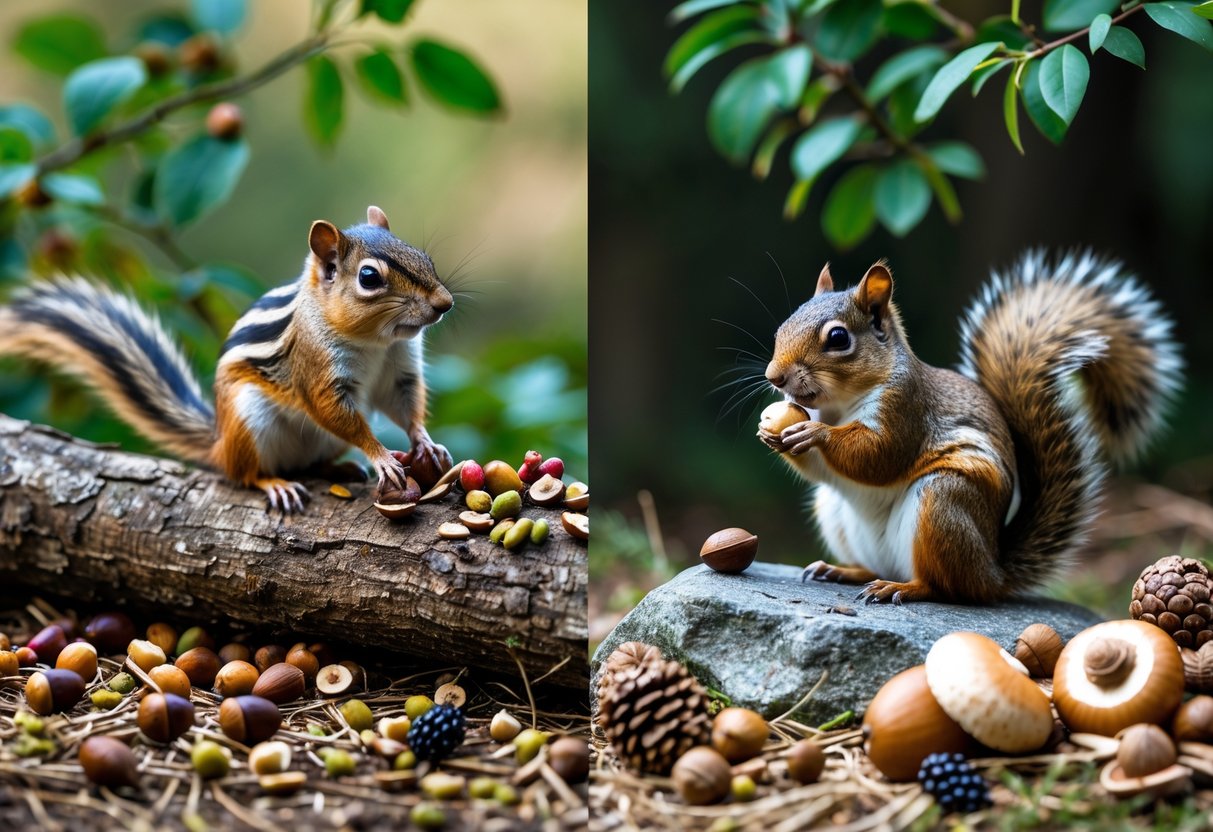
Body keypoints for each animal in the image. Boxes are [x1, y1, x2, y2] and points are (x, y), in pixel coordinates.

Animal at [0, 205, 453, 513]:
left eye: (424, 258)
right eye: (369, 277)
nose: (444, 303)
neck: (376, 343)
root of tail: (219, 442)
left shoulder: (399, 370)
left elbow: (405, 407)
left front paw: (426, 444)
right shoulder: (318, 371)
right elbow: (336, 414)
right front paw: (381, 457)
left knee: (312, 463)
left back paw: (338, 470)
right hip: (250, 421)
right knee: (245, 474)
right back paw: (275, 483)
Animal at [757, 251, 1182, 605]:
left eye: (838, 338)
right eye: (783, 325)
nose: (774, 377)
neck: (837, 406)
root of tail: (992, 573)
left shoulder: (906, 410)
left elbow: (879, 456)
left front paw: (816, 436)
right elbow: (823, 467)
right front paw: (771, 435)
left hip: (943, 502)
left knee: (947, 587)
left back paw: (902, 588)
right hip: (836, 513)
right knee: (876, 565)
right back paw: (843, 570)